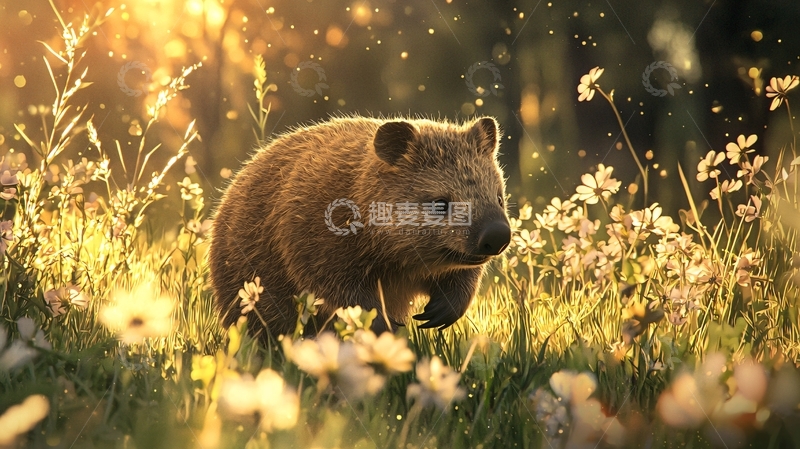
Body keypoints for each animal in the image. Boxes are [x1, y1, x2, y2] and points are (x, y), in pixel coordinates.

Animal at [209, 116, 511, 338]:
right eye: (440, 202)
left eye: (498, 195)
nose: (497, 236)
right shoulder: (314, 244)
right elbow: (340, 290)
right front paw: (384, 323)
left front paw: (439, 311)